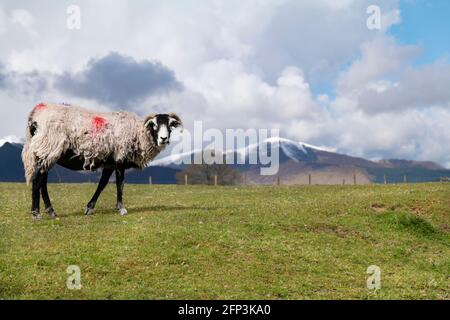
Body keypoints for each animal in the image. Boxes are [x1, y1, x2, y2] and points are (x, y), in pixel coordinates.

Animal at [21, 102, 183, 220]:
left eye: (170, 125)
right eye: (154, 125)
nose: (163, 139)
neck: (138, 134)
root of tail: (36, 113)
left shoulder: (109, 163)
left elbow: (102, 184)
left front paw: (89, 208)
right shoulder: (119, 159)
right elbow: (120, 184)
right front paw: (122, 208)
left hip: (45, 152)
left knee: (42, 180)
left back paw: (50, 211)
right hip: (49, 147)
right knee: (38, 180)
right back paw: (36, 213)